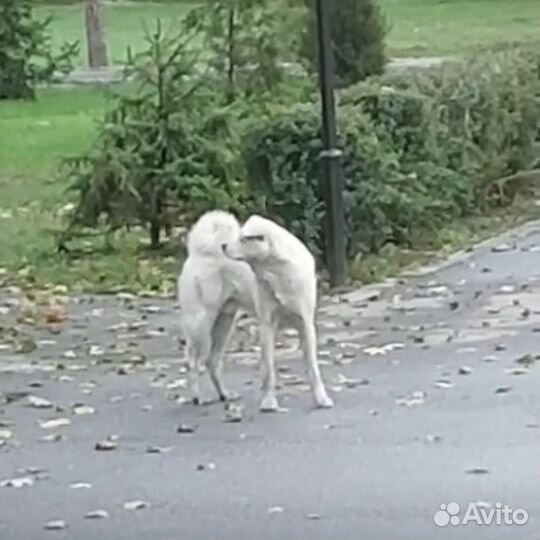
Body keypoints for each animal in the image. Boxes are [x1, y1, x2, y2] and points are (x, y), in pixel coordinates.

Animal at [178, 211, 258, 404]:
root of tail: (201, 251)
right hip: (201, 322)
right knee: (192, 361)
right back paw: (197, 397)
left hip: (224, 322)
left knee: (211, 361)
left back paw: (224, 394)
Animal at [220, 214, 332, 410]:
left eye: (243, 239)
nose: (223, 246)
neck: (276, 271)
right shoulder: (267, 325)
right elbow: (268, 369)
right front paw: (268, 402)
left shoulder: (305, 324)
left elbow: (312, 367)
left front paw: (321, 399)